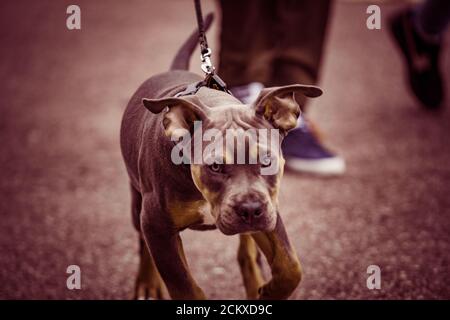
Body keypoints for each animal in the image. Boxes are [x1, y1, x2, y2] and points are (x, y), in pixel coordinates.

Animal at [119, 15, 322, 300]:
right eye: (215, 166)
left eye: (267, 161)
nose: (250, 209)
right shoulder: (157, 226)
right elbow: (185, 286)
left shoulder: (270, 211)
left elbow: (290, 266)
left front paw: (268, 292)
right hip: (138, 204)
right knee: (142, 244)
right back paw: (147, 285)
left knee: (247, 252)